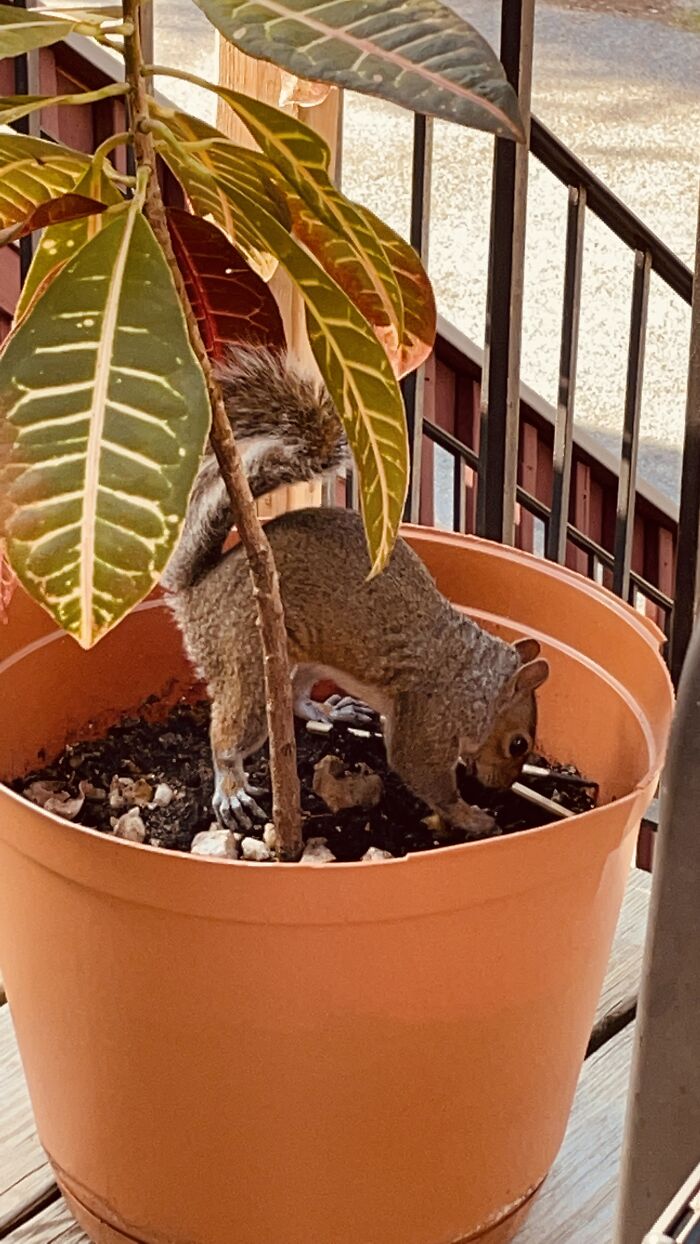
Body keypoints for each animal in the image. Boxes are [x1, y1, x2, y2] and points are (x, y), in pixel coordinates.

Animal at [163, 346, 549, 838]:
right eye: (518, 744)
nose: (499, 790)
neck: (471, 683)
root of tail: (196, 589)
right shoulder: (428, 719)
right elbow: (421, 772)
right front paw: (472, 816)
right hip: (246, 658)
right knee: (229, 734)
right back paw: (232, 787)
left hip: (306, 658)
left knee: (296, 698)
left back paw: (333, 711)